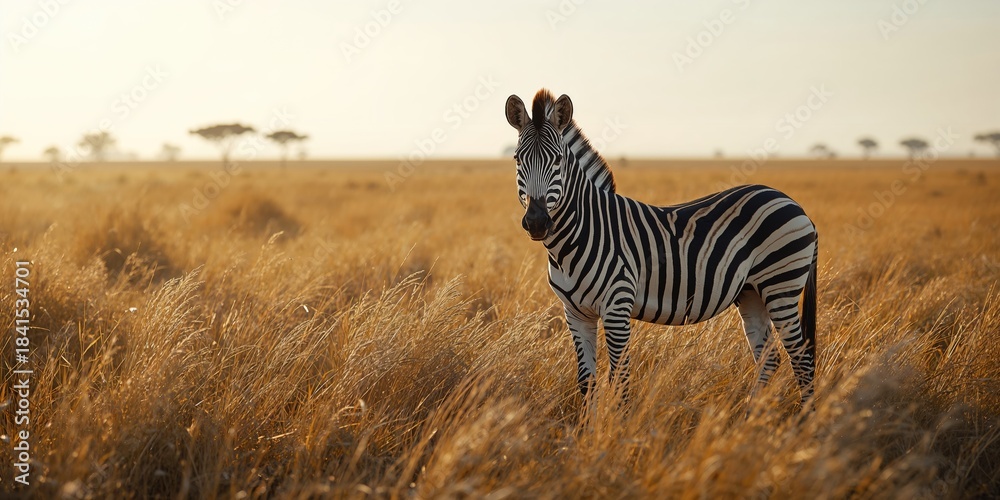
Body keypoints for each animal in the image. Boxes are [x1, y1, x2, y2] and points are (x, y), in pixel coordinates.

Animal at [504, 89, 819, 407]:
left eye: (558, 160)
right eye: (517, 159)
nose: (537, 222)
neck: (581, 234)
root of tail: (790, 201)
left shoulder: (617, 306)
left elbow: (620, 380)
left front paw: (617, 422)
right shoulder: (575, 313)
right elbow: (587, 383)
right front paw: (590, 423)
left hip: (780, 285)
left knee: (801, 358)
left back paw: (805, 417)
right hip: (751, 291)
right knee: (769, 359)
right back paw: (751, 415)